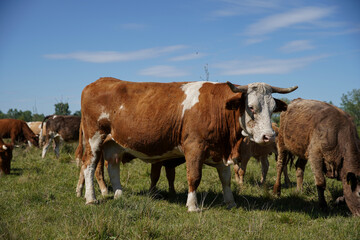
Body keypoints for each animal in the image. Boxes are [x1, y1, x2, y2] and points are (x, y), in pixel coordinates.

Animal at [80, 77, 296, 210]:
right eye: (251, 107)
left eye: (273, 108)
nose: (269, 136)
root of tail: (99, 81)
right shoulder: (194, 147)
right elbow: (194, 177)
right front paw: (192, 205)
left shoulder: (220, 151)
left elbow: (225, 179)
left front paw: (231, 202)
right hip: (94, 138)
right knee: (89, 166)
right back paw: (91, 198)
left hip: (114, 144)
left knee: (112, 166)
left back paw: (118, 194)